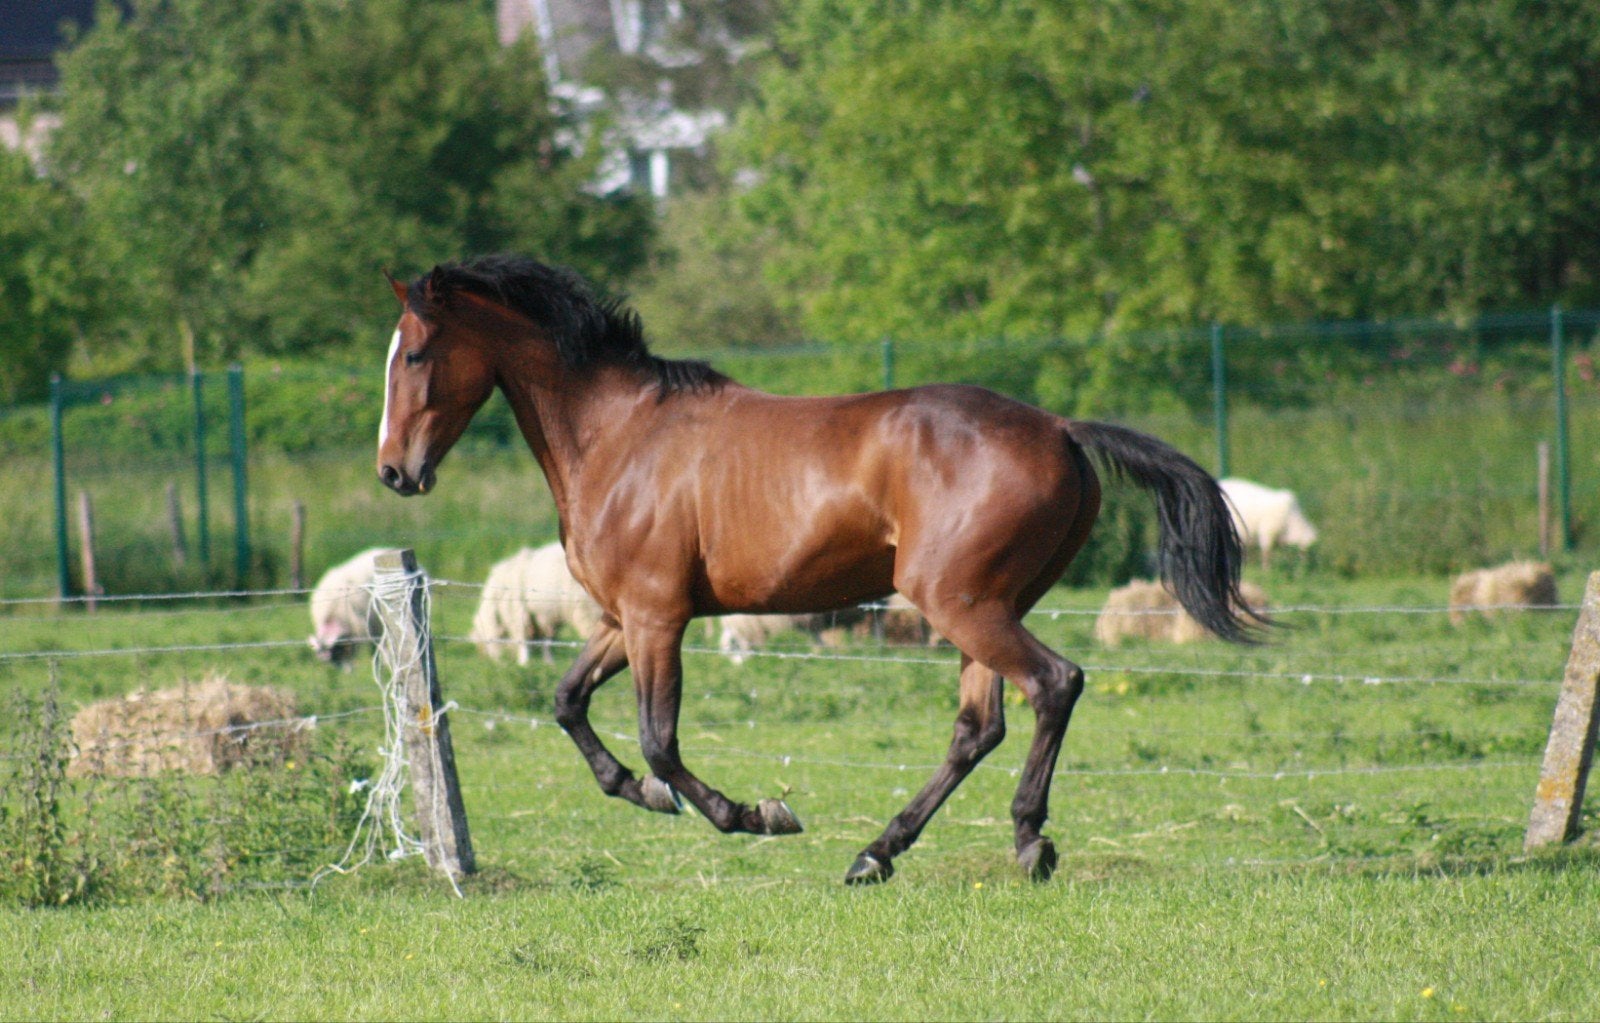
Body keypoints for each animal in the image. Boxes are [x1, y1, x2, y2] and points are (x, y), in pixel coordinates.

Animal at [376, 254, 1262, 884]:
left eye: (415, 353)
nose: (394, 472)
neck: (620, 436)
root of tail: (1059, 427)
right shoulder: (621, 617)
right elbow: (567, 703)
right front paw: (644, 793)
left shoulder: (658, 615)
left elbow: (660, 739)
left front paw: (754, 812)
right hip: (986, 605)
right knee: (979, 726)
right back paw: (878, 852)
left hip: (961, 603)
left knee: (1054, 683)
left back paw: (1025, 838)